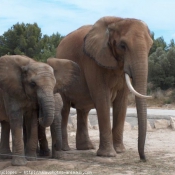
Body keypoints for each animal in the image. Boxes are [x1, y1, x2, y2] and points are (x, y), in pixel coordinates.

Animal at [47, 16, 153, 161]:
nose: (143, 158)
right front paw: (108, 155)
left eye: (151, 46)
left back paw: (86, 148)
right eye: (123, 46)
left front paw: (120, 151)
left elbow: (122, 102)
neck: (117, 20)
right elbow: (102, 98)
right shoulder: (93, 61)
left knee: (83, 111)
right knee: (65, 108)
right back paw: (65, 149)